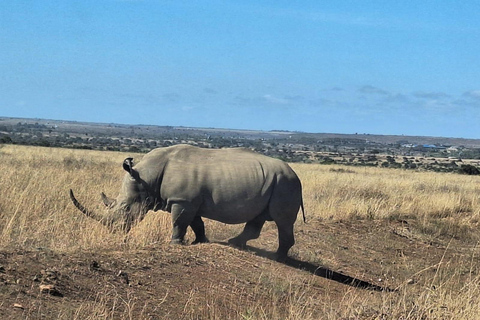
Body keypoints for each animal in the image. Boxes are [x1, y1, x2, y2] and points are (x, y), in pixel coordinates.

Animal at [70, 144, 304, 262]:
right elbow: (195, 223)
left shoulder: (182, 200)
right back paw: (234, 243)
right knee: (257, 218)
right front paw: (199, 242)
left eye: (126, 208)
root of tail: (296, 174)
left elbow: (179, 222)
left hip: (285, 184)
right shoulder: (190, 201)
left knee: (283, 222)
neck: (147, 177)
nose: (115, 231)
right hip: (274, 182)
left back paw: (279, 257)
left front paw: (175, 243)